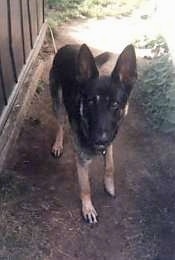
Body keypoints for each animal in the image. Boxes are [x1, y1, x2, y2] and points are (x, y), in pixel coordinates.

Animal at [49, 43, 137, 223]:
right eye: (90, 102)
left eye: (115, 104)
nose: (99, 140)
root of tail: (66, 46)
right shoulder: (82, 159)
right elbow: (85, 187)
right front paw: (88, 208)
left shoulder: (110, 141)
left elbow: (110, 165)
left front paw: (109, 185)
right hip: (58, 104)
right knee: (60, 124)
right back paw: (58, 144)